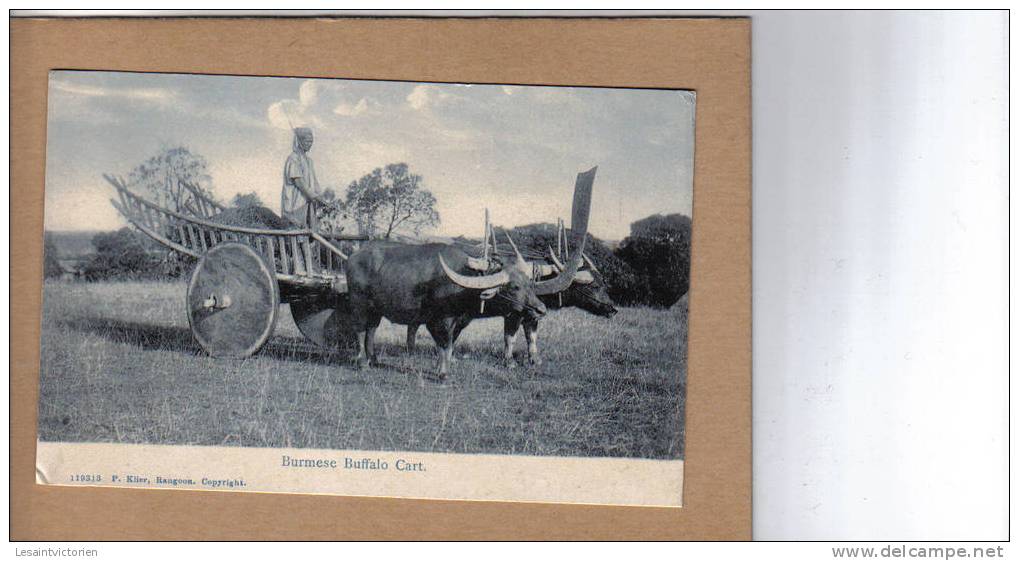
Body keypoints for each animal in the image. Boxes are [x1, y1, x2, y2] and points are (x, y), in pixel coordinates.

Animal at [346, 241, 578, 376]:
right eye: (514, 287)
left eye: (530, 282)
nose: (540, 309)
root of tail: (352, 258)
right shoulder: (438, 321)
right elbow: (444, 344)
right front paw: (443, 373)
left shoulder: (458, 321)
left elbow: (449, 345)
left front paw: (443, 366)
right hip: (358, 305)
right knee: (359, 331)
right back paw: (362, 362)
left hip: (376, 311)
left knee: (371, 331)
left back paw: (374, 360)